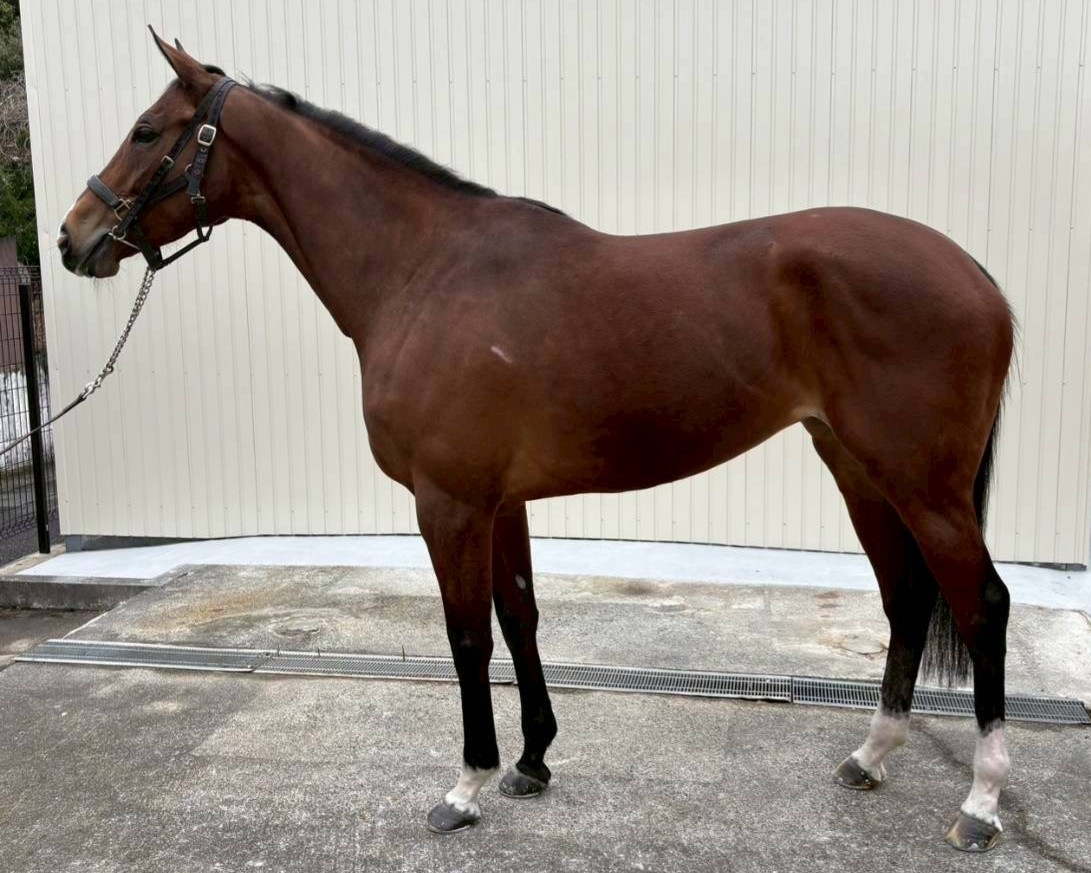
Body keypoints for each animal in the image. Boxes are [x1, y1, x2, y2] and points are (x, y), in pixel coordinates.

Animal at [58, 30, 1014, 851]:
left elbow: (466, 636)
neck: (423, 272)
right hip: (857, 468)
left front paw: (465, 786)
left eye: (146, 130)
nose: (74, 237)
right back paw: (869, 757)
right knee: (905, 598)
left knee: (981, 605)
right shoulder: (502, 499)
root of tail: (976, 274)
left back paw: (980, 803)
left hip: (923, 485)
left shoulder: (448, 502)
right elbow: (518, 616)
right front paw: (529, 762)